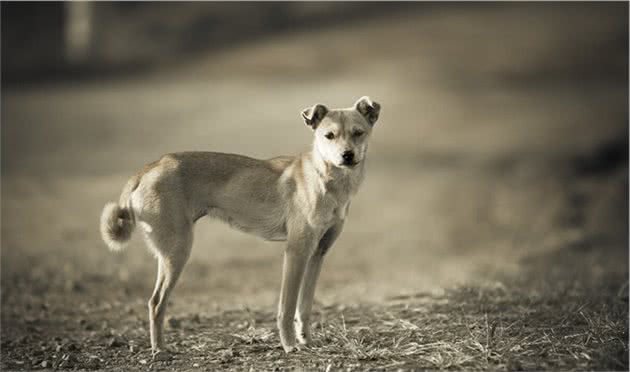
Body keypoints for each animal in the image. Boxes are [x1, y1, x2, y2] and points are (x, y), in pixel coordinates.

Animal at [101, 95, 382, 354]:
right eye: (329, 135)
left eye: (358, 133)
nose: (347, 155)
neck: (325, 178)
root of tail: (150, 167)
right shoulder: (296, 251)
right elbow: (287, 307)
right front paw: (290, 345)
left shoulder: (318, 253)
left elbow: (304, 307)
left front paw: (307, 341)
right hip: (178, 251)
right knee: (157, 303)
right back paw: (159, 350)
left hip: (170, 254)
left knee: (154, 302)